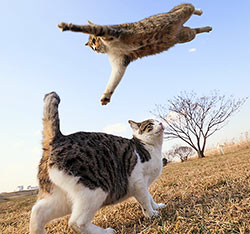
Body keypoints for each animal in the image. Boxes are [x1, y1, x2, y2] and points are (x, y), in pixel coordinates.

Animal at [29, 92, 166, 234]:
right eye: (151, 124)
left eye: (158, 121)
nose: (161, 122)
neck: (151, 147)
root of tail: (58, 139)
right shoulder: (138, 182)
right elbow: (145, 201)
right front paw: (151, 214)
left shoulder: (144, 184)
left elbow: (149, 197)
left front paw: (157, 206)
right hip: (95, 190)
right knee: (76, 222)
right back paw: (106, 232)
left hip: (61, 199)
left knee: (37, 212)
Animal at [57, 2, 212, 104]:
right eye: (90, 47)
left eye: (94, 41)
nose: (95, 49)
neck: (109, 48)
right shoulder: (120, 62)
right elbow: (113, 80)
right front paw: (106, 95)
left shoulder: (111, 32)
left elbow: (87, 28)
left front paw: (67, 26)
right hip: (186, 36)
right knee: (196, 30)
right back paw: (208, 27)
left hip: (182, 12)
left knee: (189, 5)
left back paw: (200, 11)